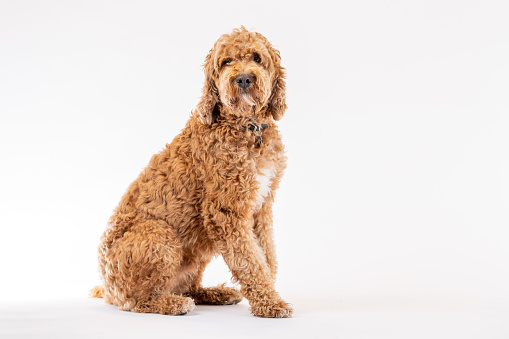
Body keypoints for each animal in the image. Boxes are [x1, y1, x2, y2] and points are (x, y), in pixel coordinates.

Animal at [89, 26, 292, 318]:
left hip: (197, 250)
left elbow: (266, 256)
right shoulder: (225, 212)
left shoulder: (261, 208)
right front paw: (270, 303)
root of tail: (108, 289)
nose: (243, 79)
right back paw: (172, 304)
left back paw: (214, 293)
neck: (246, 126)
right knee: (136, 301)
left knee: (187, 286)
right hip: (159, 234)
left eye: (257, 58)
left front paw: (269, 295)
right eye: (226, 61)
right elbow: (250, 261)